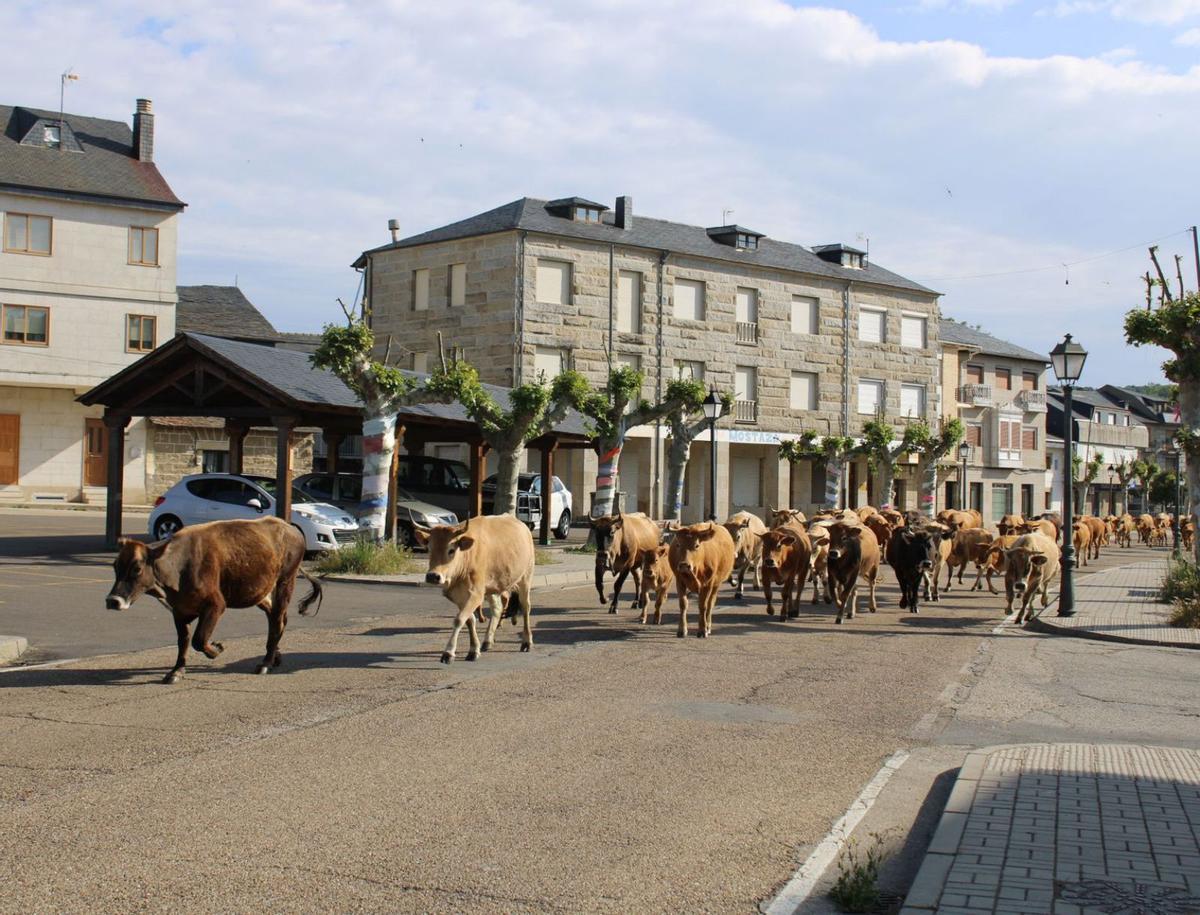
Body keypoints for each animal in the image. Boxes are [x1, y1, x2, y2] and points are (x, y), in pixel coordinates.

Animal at [106, 516, 321, 682]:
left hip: (285, 581)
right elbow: (183, 642)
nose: (113, 600)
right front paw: (176, 671)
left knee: (277, 621)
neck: (179, 568)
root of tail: (289, 527)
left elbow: (199, 639)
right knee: (277, 618)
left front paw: (217, 649)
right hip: (260, 592)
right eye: (115, 566)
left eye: (137, 568)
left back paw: (265, 663)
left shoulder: (215, 605)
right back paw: (275, 656)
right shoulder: (179, 611)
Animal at [420, 513, 537, 662]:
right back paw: (488, 640)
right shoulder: (459, 596)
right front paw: (473, 650)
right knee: (497, 609)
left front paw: (448, 652)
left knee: (526, 607)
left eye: (451, 550)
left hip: (525, 578)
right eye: (429, 549)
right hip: (492, 586)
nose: (432, 576)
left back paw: (526, 642)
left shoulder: (476, 594)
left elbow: (459, 619)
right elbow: (469, 620)